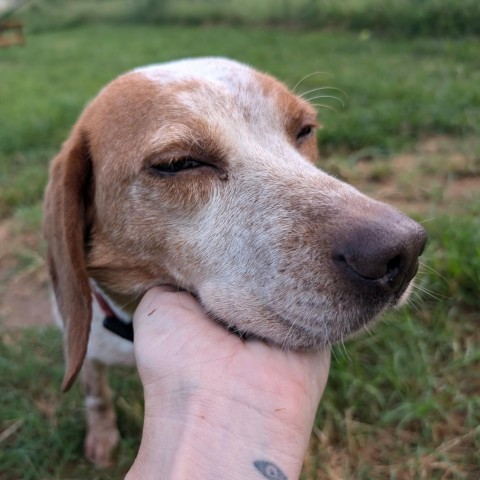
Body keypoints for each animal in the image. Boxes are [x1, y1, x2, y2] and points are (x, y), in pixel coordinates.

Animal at [44, 56, 428, 464]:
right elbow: (96, 394)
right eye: (178, 163)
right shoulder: (88, 353)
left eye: (305, 130)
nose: (404, 251)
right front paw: (102, 435)